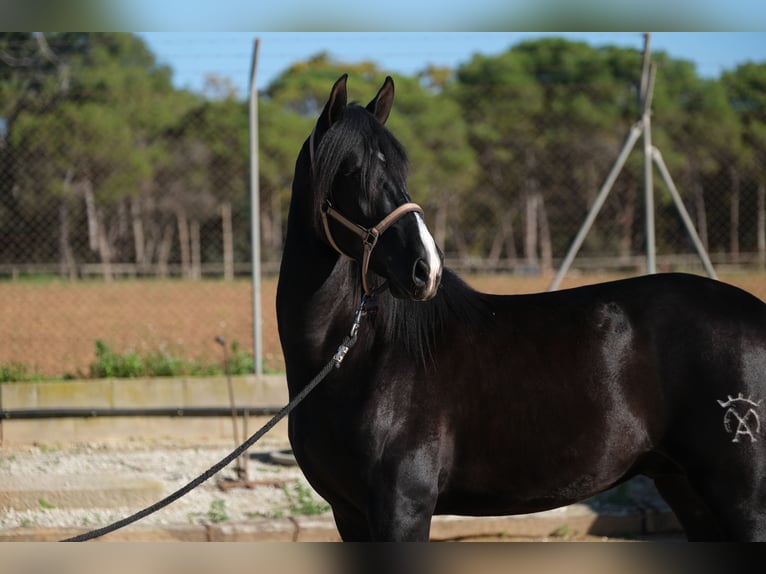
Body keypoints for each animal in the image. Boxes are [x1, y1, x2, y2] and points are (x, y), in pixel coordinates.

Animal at [280, 74, 766, 544]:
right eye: (350, 170)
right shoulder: (349, 514)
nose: (426, 268)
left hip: (742, 500)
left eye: (400, 169)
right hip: (685, 489)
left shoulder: (402, 509)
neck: (357, 359)